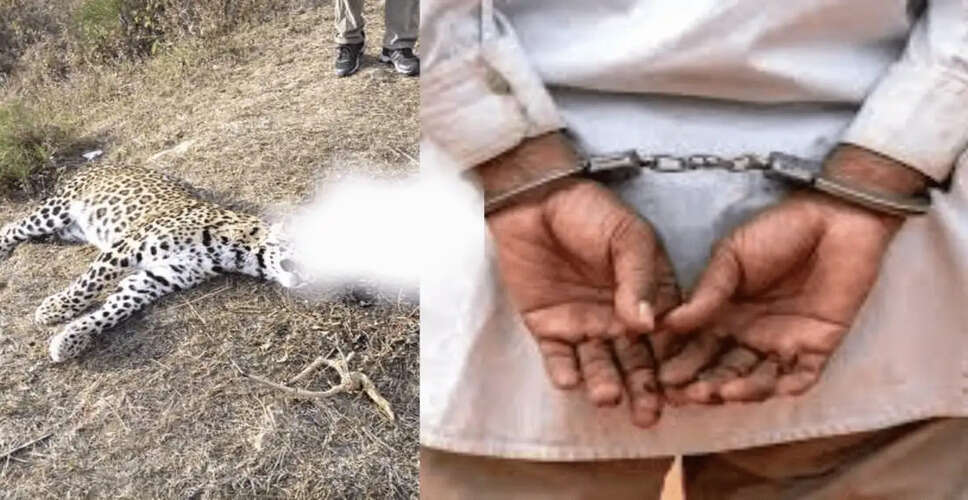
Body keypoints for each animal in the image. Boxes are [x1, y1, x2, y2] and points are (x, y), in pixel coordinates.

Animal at [0, 164, 305, 362]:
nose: (310, 279)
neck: (237, 251)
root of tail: (102, 163)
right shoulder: (126, 248)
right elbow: (88, 285)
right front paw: (54, 309)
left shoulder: (156, 278)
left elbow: (114, 310)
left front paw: (69, 340)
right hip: (55, 211)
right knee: (12, 227)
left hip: (69, 230)